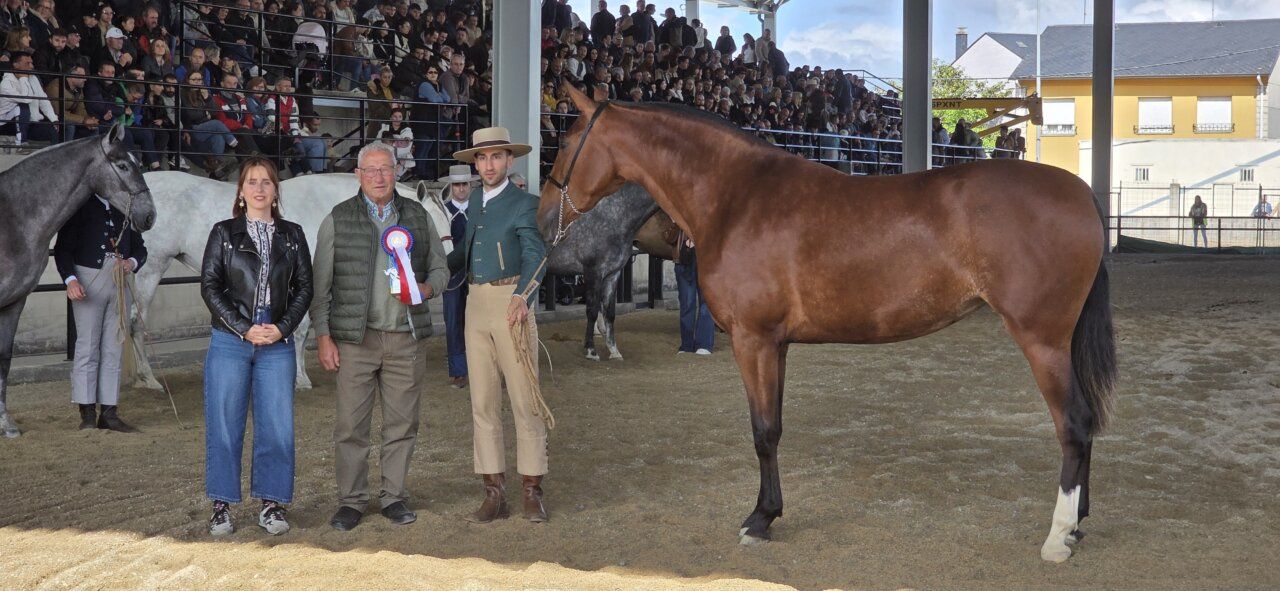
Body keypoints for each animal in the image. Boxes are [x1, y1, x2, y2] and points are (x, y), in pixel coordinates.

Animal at [0, 126, 157, 438]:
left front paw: (5, 423)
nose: (149, 215)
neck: (13, 219)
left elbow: (4, 358)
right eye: (123, 165)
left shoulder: (15, 301)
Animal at [129, 172, 451, 391]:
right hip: (150, 270)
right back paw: (148, 378)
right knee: (135, 322)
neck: (324, 207)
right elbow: (302, 329)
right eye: (429, 223)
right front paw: (301, 378)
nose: (449, 271)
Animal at [537, 86, 1116, 563]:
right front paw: (770, 512)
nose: (543, 219)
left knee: (1073, 424)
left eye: (567, 140)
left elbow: (762, 431)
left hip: (1042, 340)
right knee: (1085, 423)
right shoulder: (777, 344)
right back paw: (1078, 524)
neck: (737, 197)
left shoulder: (752, 340)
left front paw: (759, 520)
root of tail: (1080, 193)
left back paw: (1057, 537)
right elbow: (774, 426)